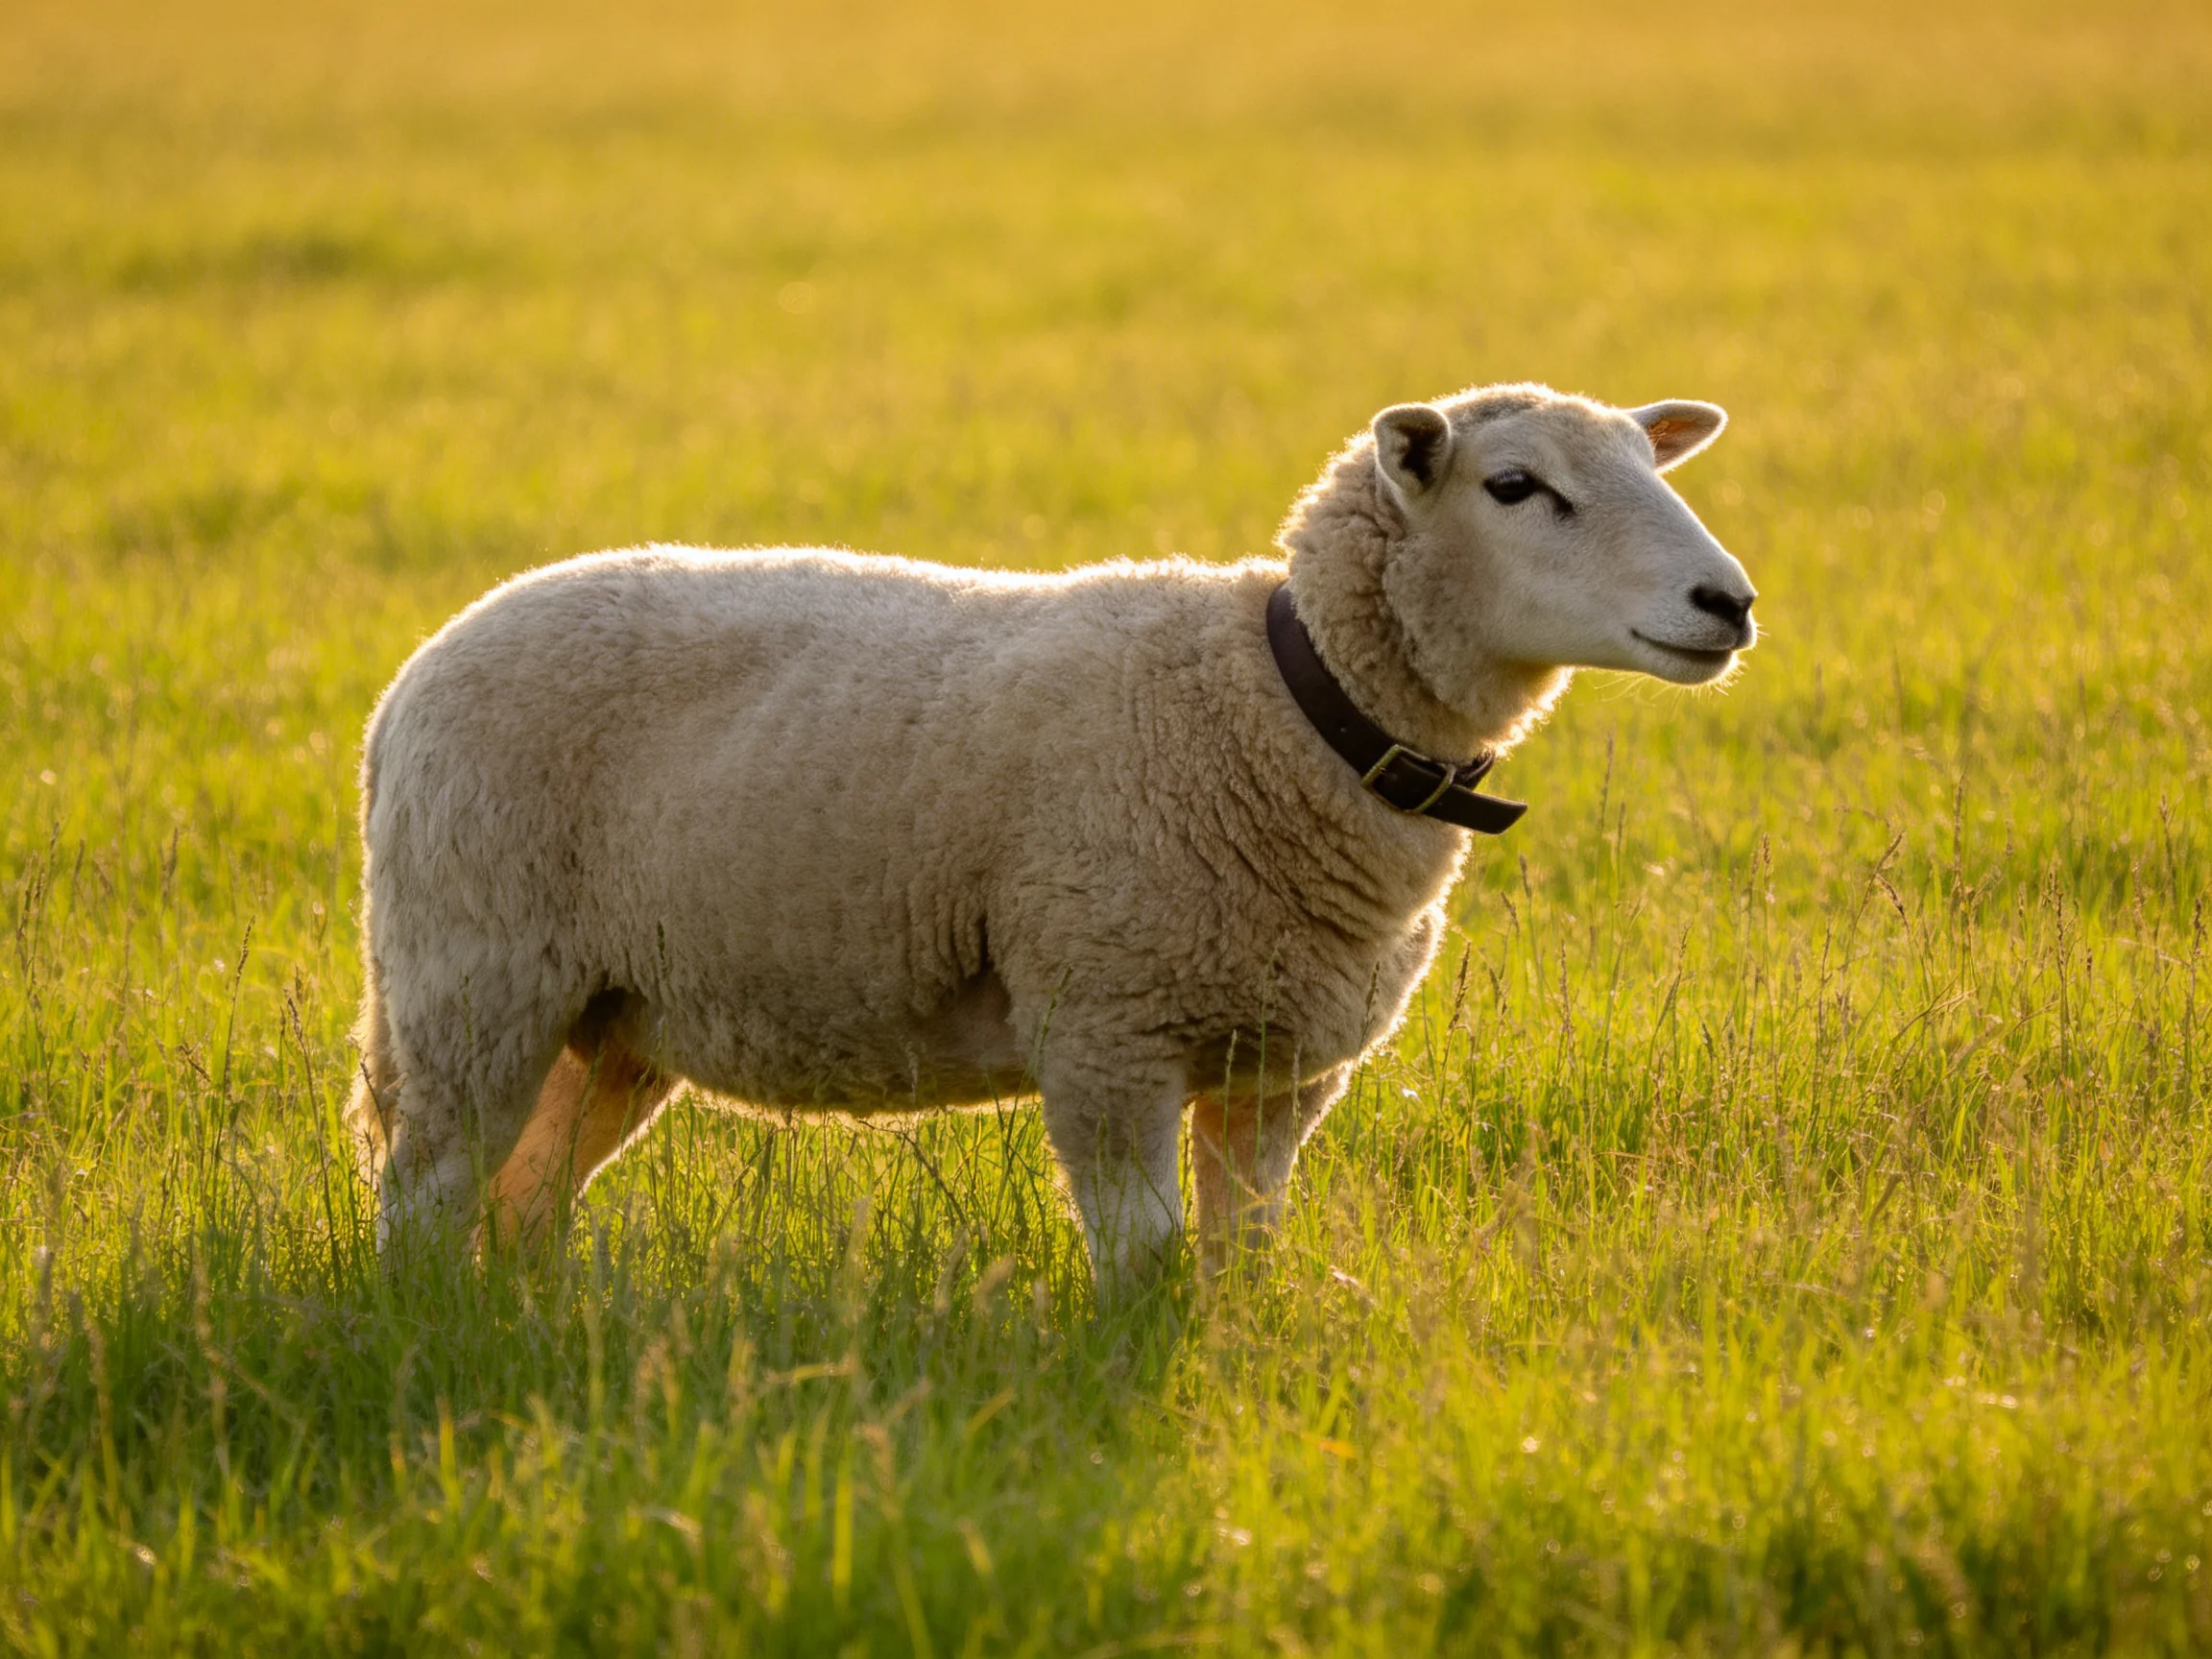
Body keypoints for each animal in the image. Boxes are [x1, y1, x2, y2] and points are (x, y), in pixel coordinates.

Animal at [345, 381, 1756, 1292]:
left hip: (610, 1017)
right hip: (474, 971)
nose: (1729, 602)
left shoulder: (1278, 1069)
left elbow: (1243, 1255)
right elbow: (1146, 1262)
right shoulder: (1105, 1026)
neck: (1278, 709)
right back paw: (425, 1336)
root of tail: (406, 683)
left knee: (522, 1199)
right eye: (1517, 488)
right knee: (425, 1193)